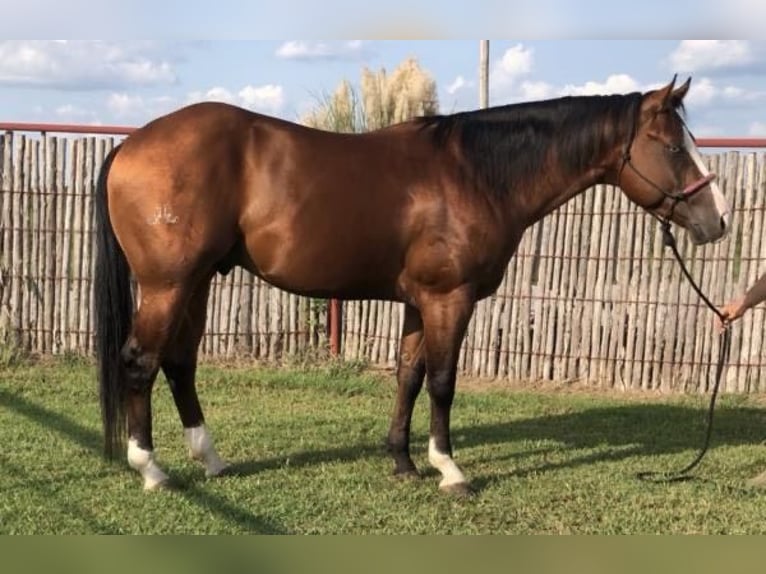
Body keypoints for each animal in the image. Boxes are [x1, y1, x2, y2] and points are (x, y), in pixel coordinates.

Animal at [96, 79, 732, 498]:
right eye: (672, 147)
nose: (719, 221)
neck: (475, 174)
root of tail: (132, 143)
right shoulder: (450, 298)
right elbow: (445, 383)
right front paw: (450, 470)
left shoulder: (418, 303)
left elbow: (409, 375)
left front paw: (403, 462)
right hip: (168, 284)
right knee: (141, 361)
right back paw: (150, 468)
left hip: (198, 282)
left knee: (179, 362)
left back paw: (211, 460)